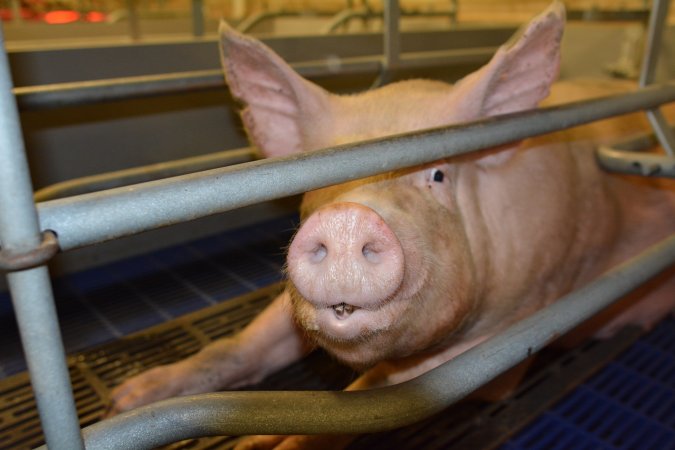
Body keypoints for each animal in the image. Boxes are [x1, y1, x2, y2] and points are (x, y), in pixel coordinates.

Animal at [107, 1, 675, 448]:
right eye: (321, 177)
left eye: (439, 174)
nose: (346, 219)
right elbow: (243, 345)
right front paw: (127, 399)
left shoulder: (519, 332)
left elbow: (375, 399)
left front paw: (256, 441)